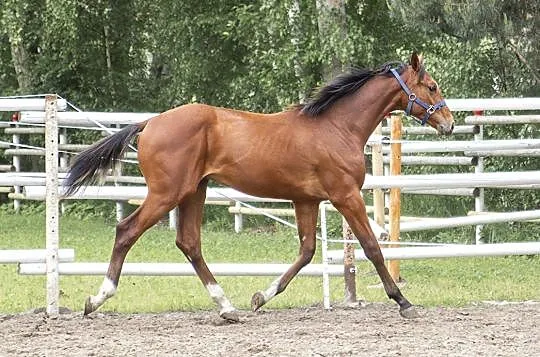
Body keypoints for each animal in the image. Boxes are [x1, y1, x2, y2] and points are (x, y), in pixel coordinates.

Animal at [63, 52, 454, 320]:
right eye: (432, 86)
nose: (449, 123)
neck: (336, 128)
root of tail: (149, 123)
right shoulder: (345, 196)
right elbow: (372, 247)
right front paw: (403, 302)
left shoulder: (306, 200)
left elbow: (307, 251)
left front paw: (260, 297)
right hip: (167, 193)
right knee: (127, 231)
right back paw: (96, 299)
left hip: (194, 192)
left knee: (189, 243)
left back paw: (227, 307)